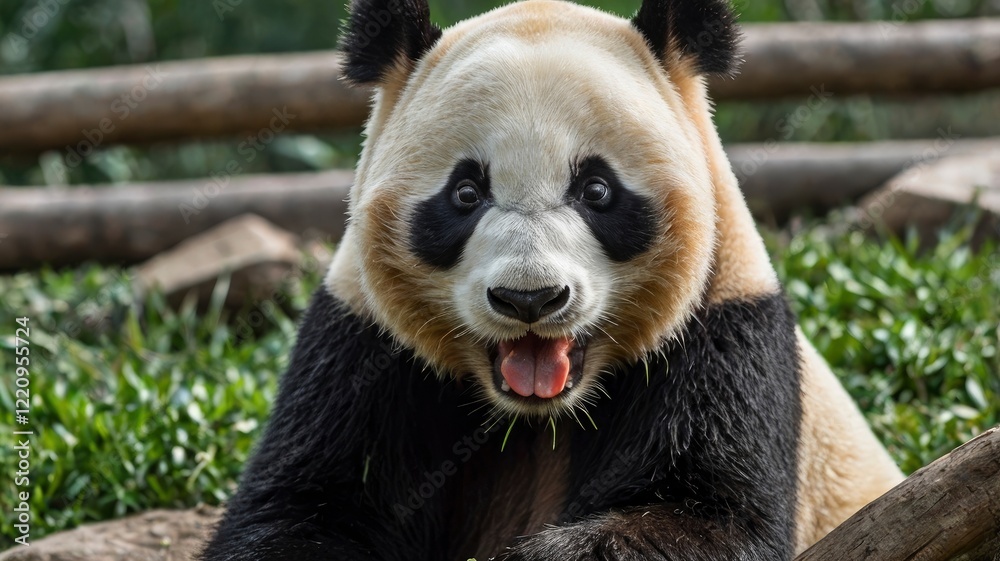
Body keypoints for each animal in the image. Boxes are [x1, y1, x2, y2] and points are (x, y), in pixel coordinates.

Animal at [202, 0, 904, 559]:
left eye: (596, 189)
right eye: (465, 193)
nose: (530, 298)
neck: (541, 416)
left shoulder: (724, 325)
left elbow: (711, 517)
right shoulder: (362, 340)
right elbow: (303, 506)